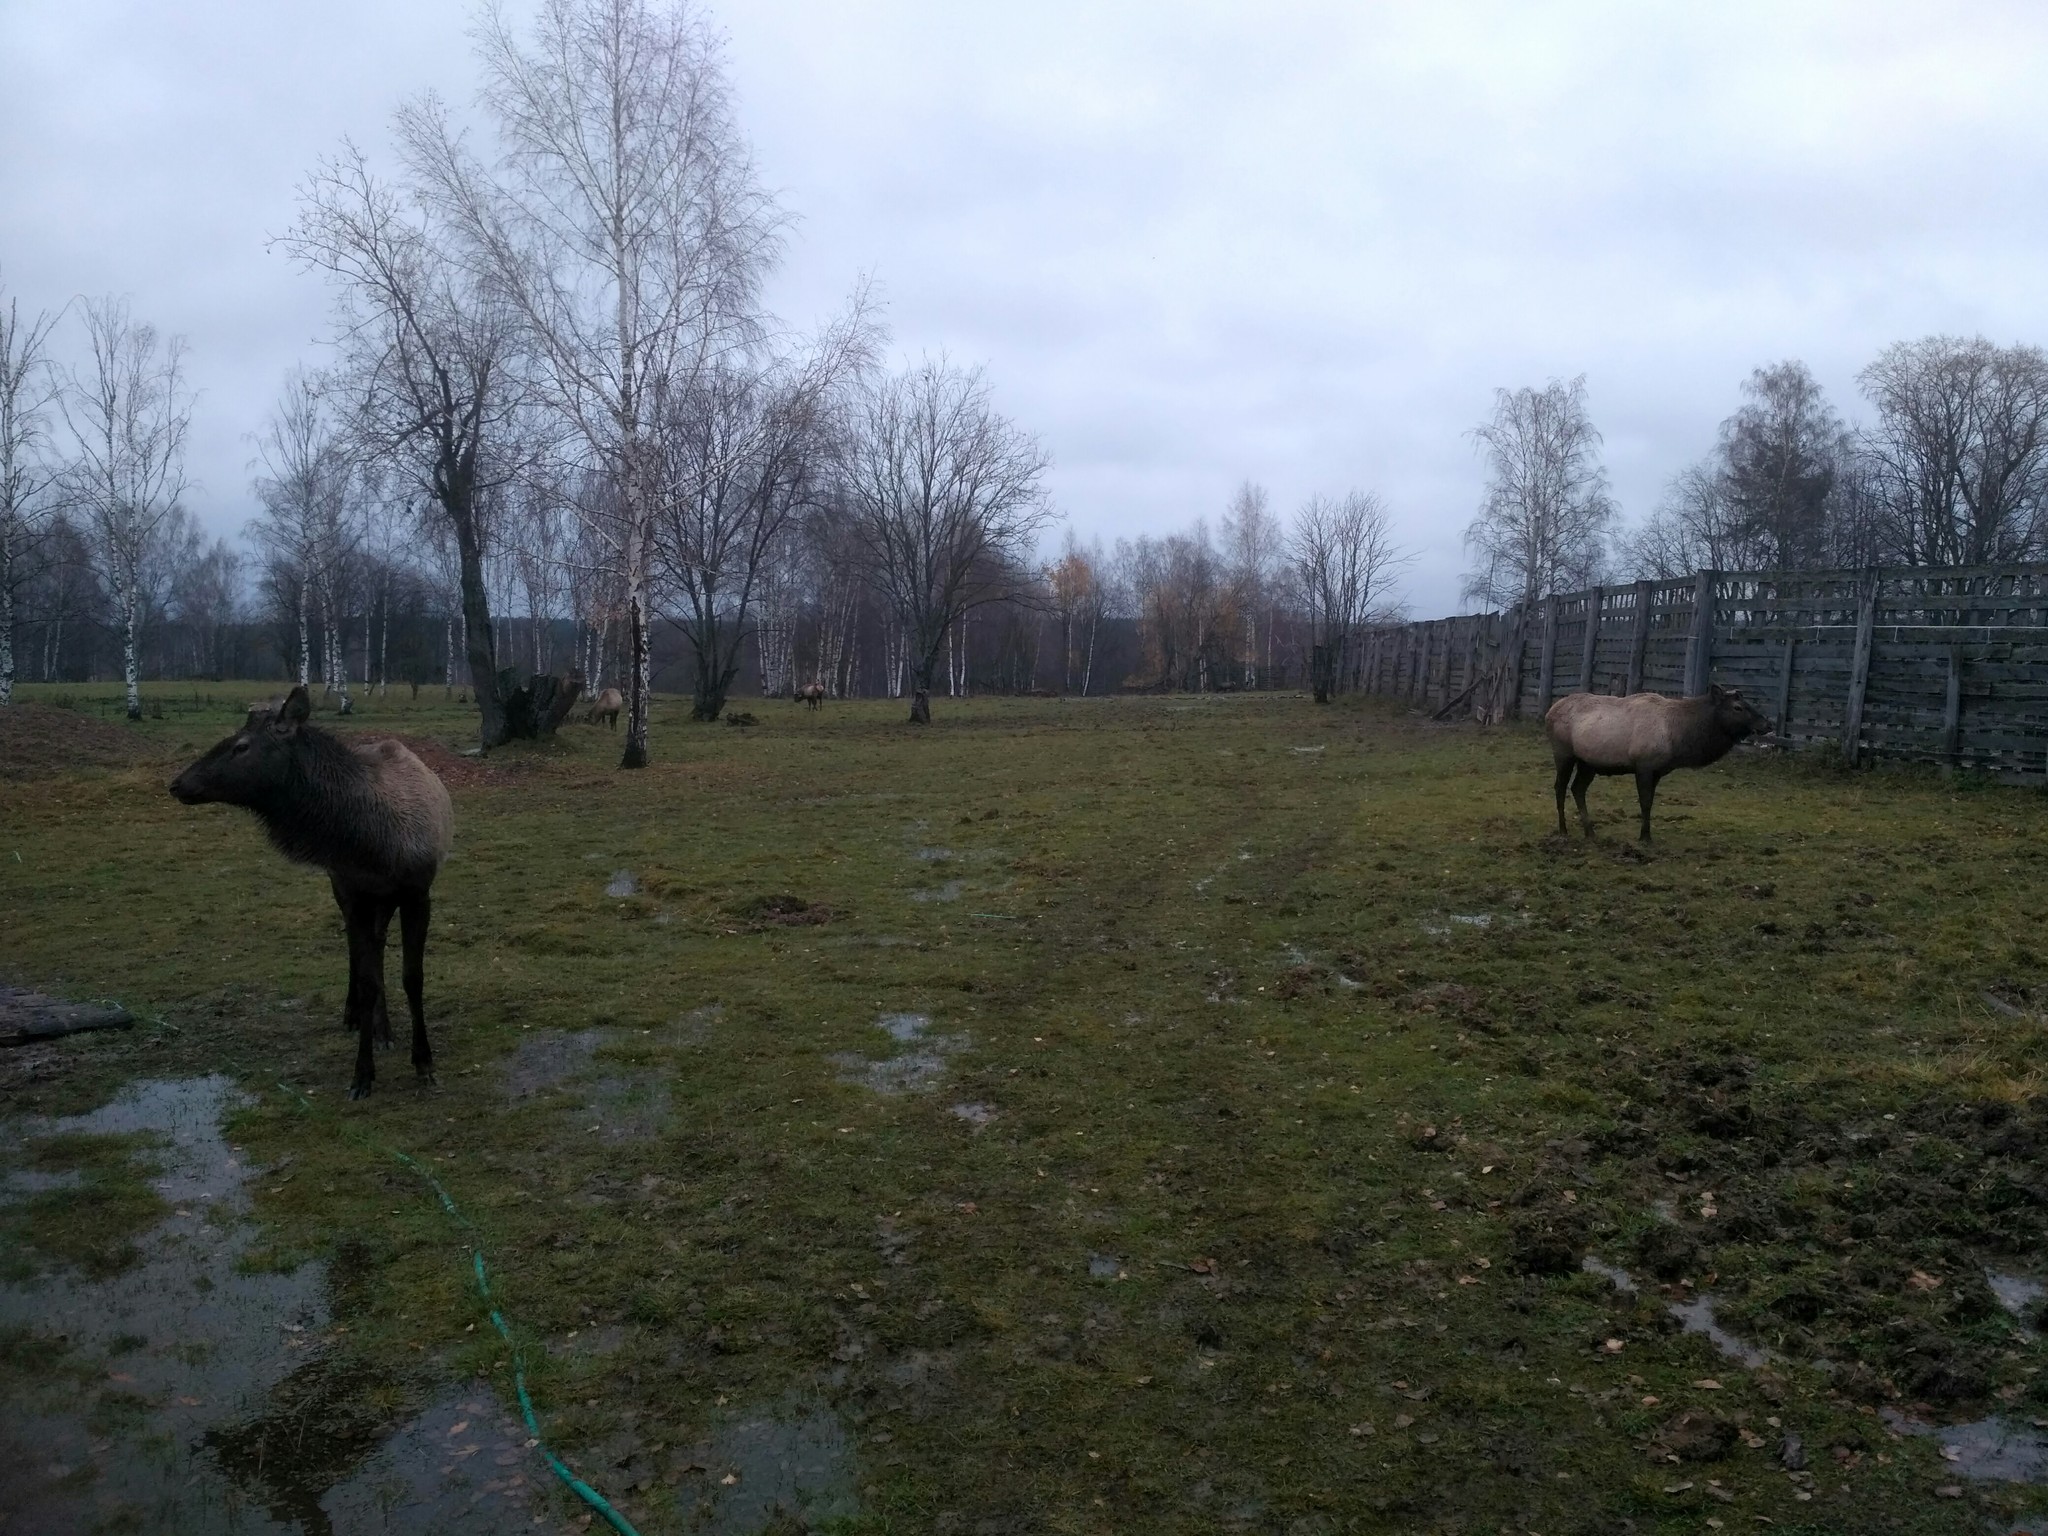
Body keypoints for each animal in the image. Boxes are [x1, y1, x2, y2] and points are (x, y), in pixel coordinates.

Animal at [169, 692, 454, 1097]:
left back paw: (383, 1029)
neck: (373, 843)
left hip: (384, 901)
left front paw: (424, 1062)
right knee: (360, 952)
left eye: (242, 746)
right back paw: (360, 1018)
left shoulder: (418, 892)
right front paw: (362, 1074)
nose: (178, 784)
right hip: (348, 893)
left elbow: (413, 978)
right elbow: (367, 979)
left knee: (377, 947)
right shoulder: (354, 892)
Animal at [1540, 684, 1769, 843]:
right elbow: (1645, 802)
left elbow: (1650, 802)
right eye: (1738, 707)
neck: (1678, 736)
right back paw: (1563, 830)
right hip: (1563, 752)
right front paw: (1645, 837)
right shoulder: (1644, 765)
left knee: (1577, 788)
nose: (1768, 724)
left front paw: (1645, 834)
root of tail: (1549, 711)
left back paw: (1590, 831)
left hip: (1588, 763)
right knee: (1560, 787)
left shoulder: (1658, 771)